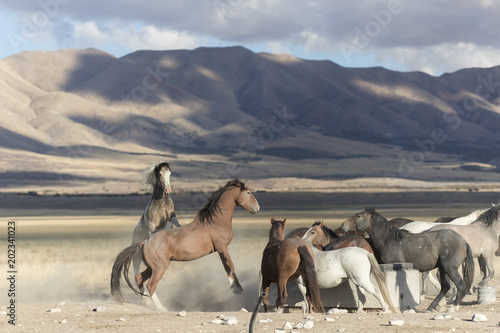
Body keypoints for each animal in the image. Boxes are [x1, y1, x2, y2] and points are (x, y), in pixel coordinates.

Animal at [111, 178, 260, 310]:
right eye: (248, 192)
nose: (257, 208)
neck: (215, 222)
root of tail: (145, 242)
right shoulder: (222, 248)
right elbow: (230, 266)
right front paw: (236, 288)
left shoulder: (221, 249)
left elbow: (228, 266)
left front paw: (236, 287)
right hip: (160, 267)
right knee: (150, 285)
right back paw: (161, 308)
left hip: (152, 267)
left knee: (139, 278)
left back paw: (146, 303)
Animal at [340, 208, 472, 312]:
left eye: (358, 216)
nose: (342, 225)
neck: (389, 240)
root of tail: (463, 241)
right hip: (443, 268)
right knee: (445, 286)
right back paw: (431, 307)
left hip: (449, 268)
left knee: (459, 284)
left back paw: (453, 307)